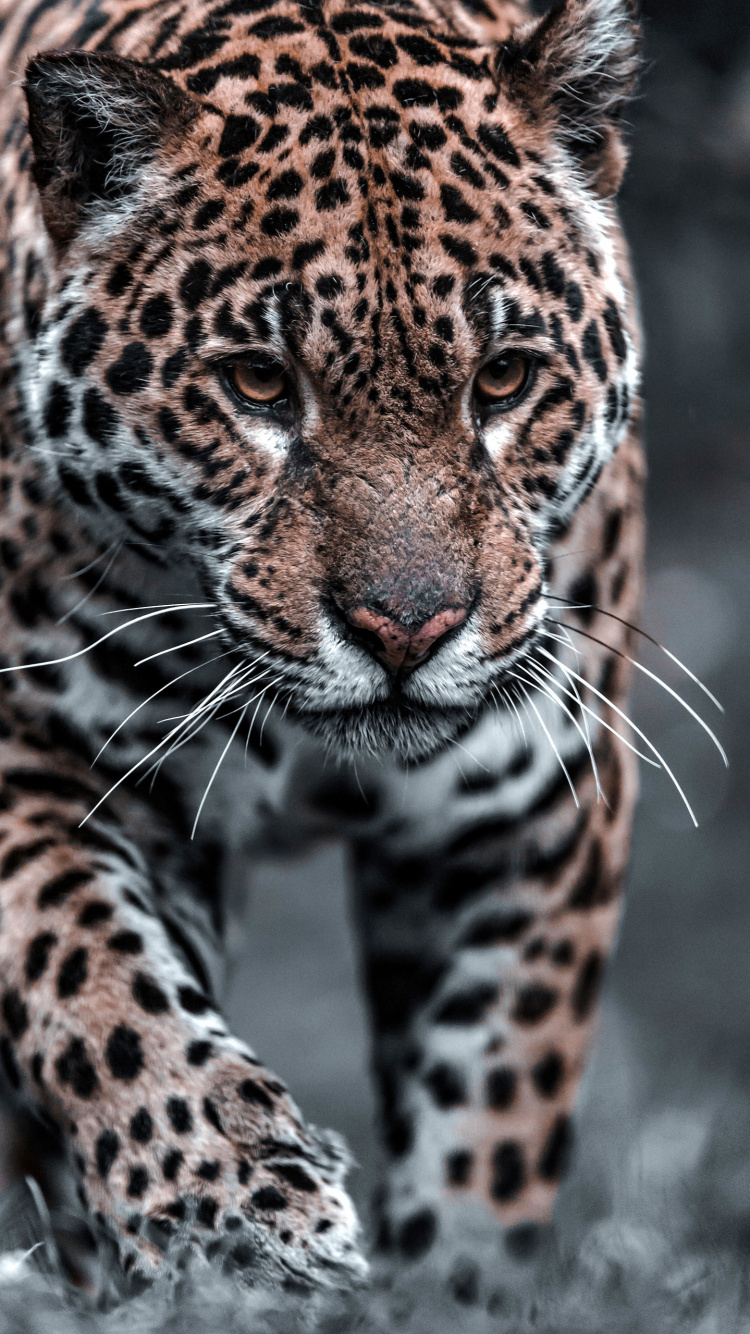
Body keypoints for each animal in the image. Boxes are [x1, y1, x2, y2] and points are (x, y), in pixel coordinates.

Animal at [0, 0, 645, 1310]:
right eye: (258, 382)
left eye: (504, 378)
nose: (407, 627)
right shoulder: (42, 755)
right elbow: (98, 982)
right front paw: (240, 1218)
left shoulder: (530, 816)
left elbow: (488, 1120)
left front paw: (449, 1296)